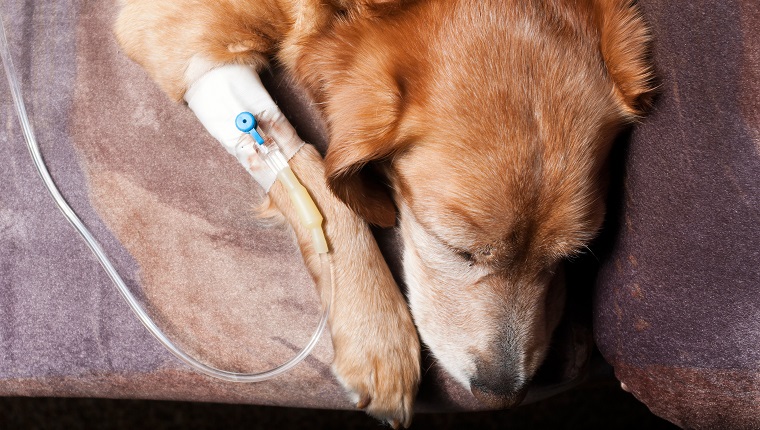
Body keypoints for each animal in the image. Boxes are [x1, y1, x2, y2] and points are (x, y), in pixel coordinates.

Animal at [114, 0, 652, 426]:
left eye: (573, 255)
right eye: (456, 249)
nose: (503, 394)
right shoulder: (179, 34)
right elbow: (315, 171)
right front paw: (377, 337)